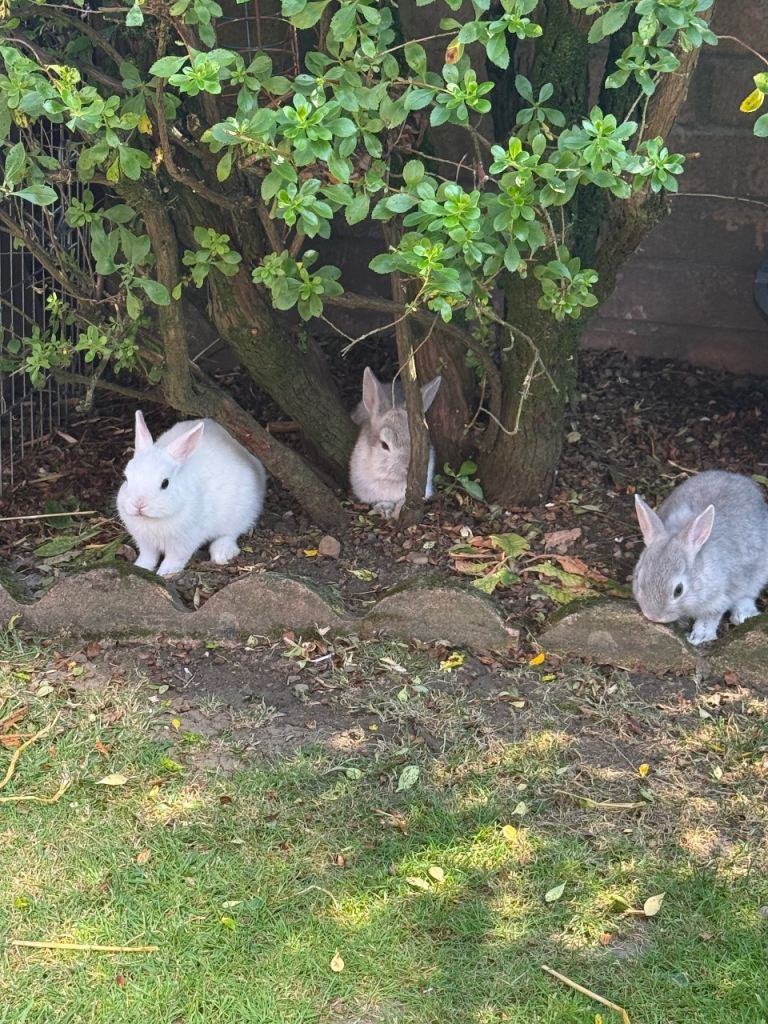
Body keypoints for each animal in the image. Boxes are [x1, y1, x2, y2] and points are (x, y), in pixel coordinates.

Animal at [117, 410, 267, 576]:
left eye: (165, 483)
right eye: (126, 478)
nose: (138, 504)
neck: (154, 519)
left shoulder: (185, 542)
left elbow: (175, 558)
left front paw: (165, 572)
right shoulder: (145, 543)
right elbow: (148, 556)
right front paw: (141, 567)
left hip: (241, 512)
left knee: (231, 533)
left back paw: (221, 553)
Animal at [632, 470, 768, 645]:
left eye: (678, 590)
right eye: (639, 578)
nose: (654, 616)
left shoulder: (719, 598)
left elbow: (710, 618)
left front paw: (699, 637)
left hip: (759, 573)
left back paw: (742, 615)